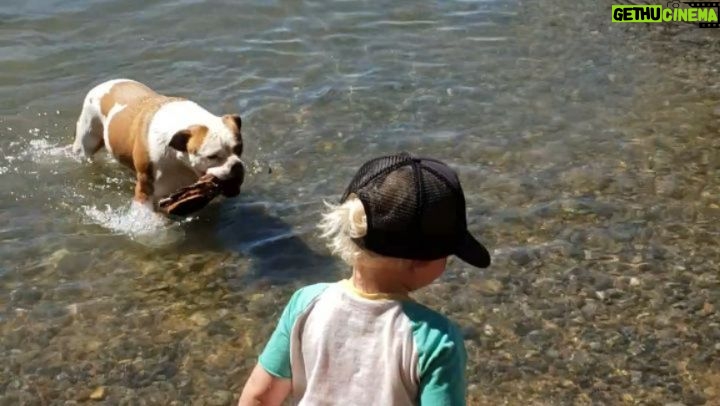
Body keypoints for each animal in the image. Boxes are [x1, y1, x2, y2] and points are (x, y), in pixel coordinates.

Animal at [72, 77, 245, 209]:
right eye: (212, 156)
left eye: (239, 149)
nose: (236, 165)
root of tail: (106, 83)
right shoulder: (145, 190)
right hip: (87, 139)